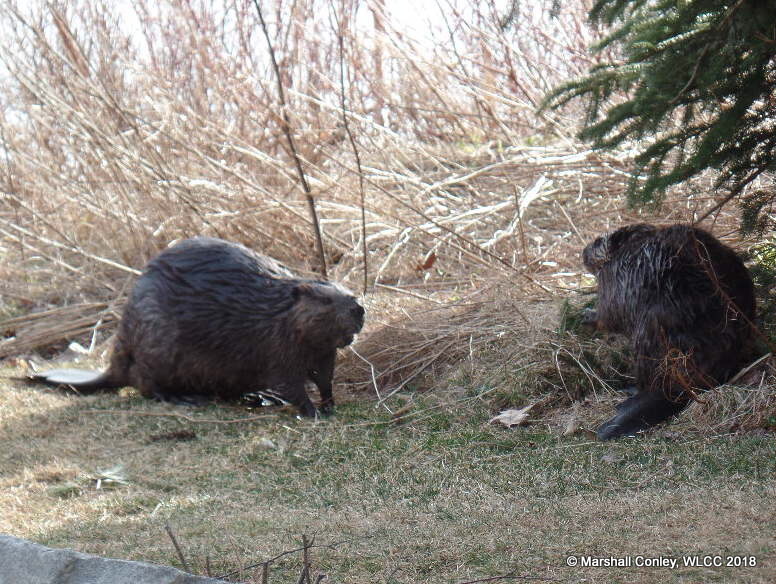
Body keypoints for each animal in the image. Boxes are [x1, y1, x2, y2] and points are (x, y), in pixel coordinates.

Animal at [28, 235, 366, 418]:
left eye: (347, 291)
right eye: (325, 299)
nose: (359, 309)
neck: (278, 312)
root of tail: (114, 366)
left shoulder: (322, 352)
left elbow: (324, 377)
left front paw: (329, 403)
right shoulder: (275, 346)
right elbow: (290, 382)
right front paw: (312, 411)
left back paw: (257, 397)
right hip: (157, 349)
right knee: (148, 386)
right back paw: (186, 398)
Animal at [584, 222, 756, 438]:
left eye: (598, 241)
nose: (583, 253)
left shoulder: (612, 278)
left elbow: (609, 315)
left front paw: (588, 315)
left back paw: (629, 395)